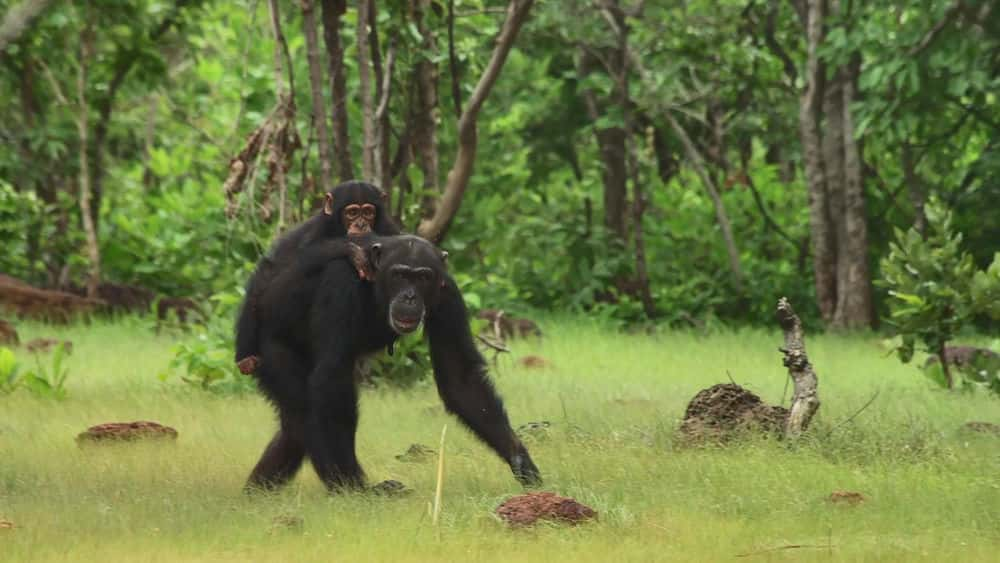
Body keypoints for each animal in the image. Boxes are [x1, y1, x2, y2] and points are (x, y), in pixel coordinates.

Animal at [236, 181, 400, 374]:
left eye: (368, 212)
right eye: (352, 213)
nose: (360, 224)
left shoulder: (391, 231)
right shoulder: (315, 230)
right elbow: (298, 260)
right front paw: (353, 251)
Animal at [244, 235, 540, 494]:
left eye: (422, 277)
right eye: (399, 275)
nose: (409, 296)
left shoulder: (448, 293)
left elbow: (460, 376)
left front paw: (520, 460)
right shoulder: (341, 283)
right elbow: (332, 375)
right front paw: (354, 487)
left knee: (293, 432)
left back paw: (257, 491)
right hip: (270, 349)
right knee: (304, 412)